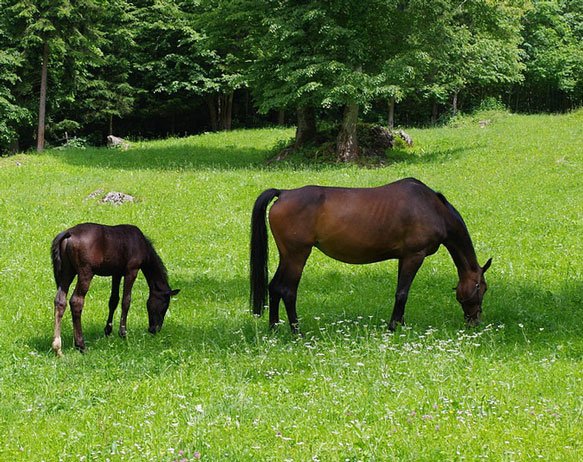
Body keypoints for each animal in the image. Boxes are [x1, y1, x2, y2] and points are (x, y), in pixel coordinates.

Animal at [51, 224, 179, 358]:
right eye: (164, 305)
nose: (155, 329)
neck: (141, 243)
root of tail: (68, 233)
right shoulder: (131, 271)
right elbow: (126, 301)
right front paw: (123, 333)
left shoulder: (116, 273)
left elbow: (113, 300)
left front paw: (108, 331)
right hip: (85, 274)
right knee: (76, 301)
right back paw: (81, 345)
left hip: (67, 273)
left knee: (60, 301)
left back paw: (57, 348)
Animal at [251, 177, 492, 332]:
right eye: (482, 288)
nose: (476, 322)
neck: (433, 208)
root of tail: (284, 193)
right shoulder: (415, 256)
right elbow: (402, 293)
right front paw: (393, 327)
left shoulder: (404, 258)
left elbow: (401, 291)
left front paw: (401, 324)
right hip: (297, 256)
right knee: (288, 291)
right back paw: (296, 332)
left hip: (287, 256)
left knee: (274, 287)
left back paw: (274, 329)